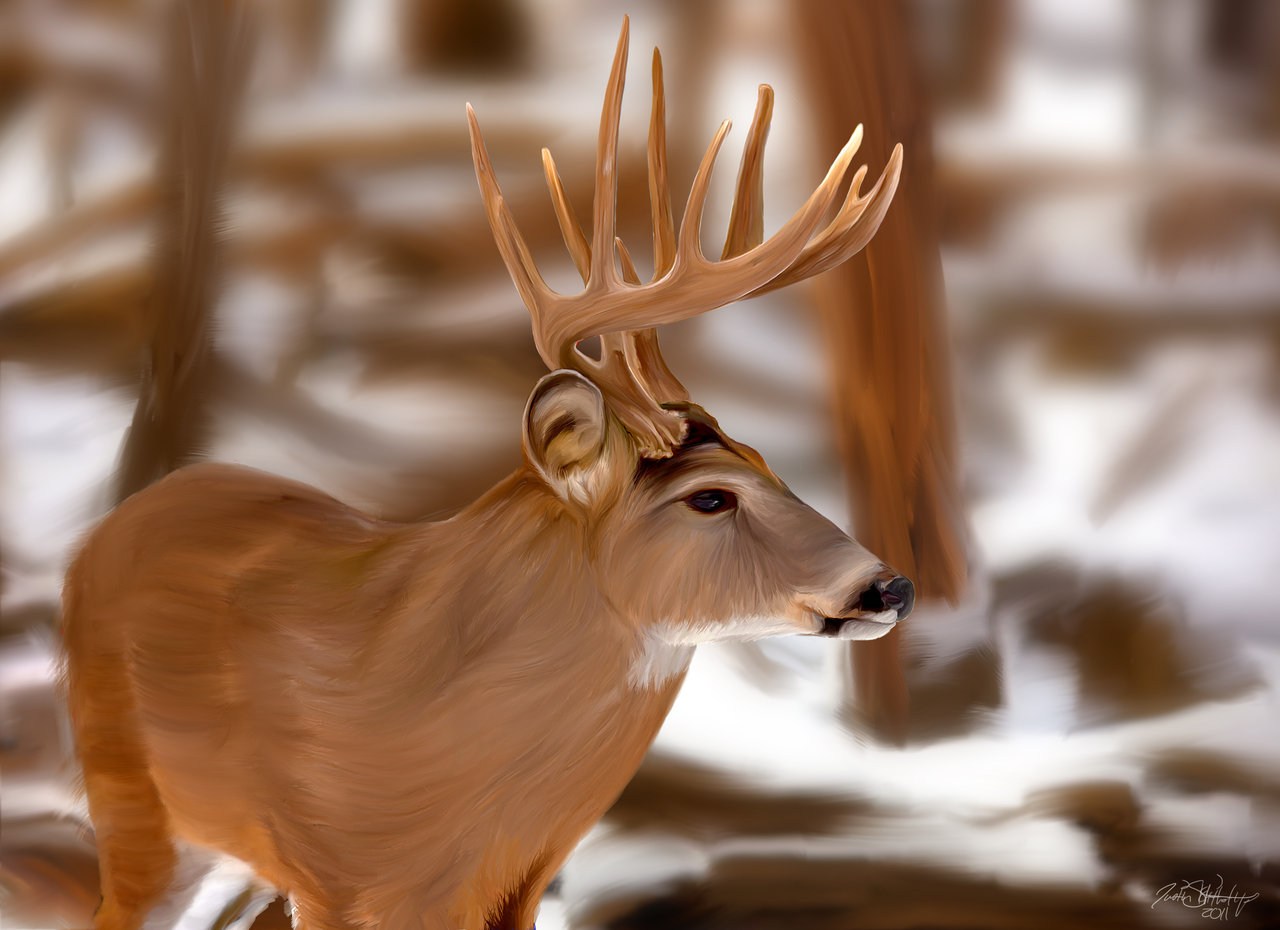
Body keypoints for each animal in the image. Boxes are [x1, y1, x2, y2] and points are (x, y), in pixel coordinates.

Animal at [60, 17, 910, 930]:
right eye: (709, 497)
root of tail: (116, 523)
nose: (889, 586)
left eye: (768, 464)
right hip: (135, 798)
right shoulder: (337, 877)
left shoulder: (518, 886)